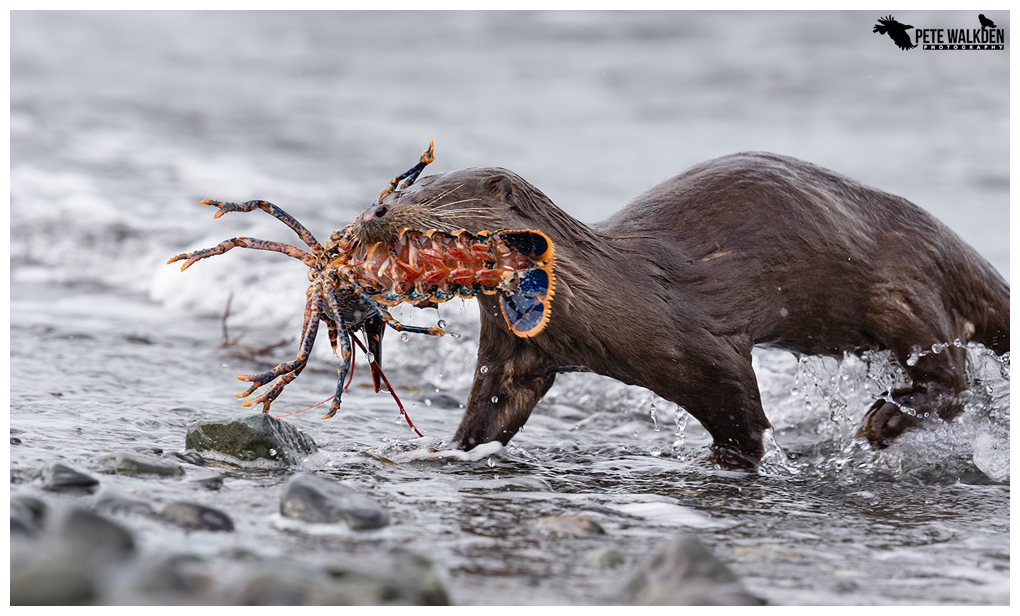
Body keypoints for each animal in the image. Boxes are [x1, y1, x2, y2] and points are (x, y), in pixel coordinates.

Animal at [354, 151, 1007, 469]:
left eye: (433, 196)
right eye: (399, 187)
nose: (375, 212)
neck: (605, 293)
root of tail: (945, 241)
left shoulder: (701, 345)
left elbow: (742, 413)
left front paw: (726, 462)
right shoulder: (517, 350)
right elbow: (491, 411)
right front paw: (445, 451)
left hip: (902, 292)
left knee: (955, 376)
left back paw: (885, 418)